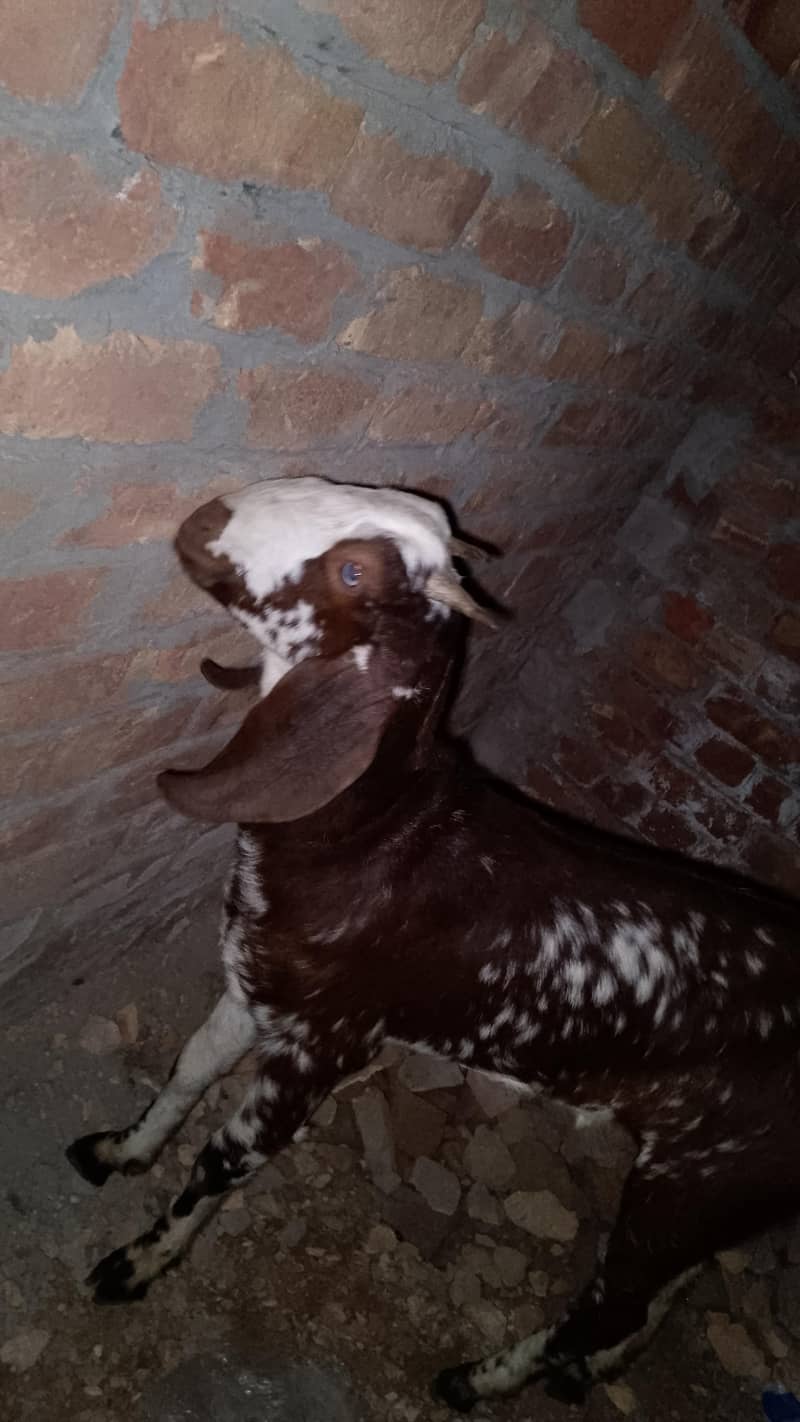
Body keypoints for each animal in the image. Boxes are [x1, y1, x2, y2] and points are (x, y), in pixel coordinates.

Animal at [67, 475, 800, 1413]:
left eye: (352, 571)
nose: (207, 518)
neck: (376, 834)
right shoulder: (255, 983)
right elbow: (189, 1066)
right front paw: (122, 1149)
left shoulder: (328, 1042)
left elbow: (226, 1161)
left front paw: (137, 1266)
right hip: (718, 1193)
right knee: (658, 1296)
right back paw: (588, 1372)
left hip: (700, 1176)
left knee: (607, 1302)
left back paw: (476, 1383)